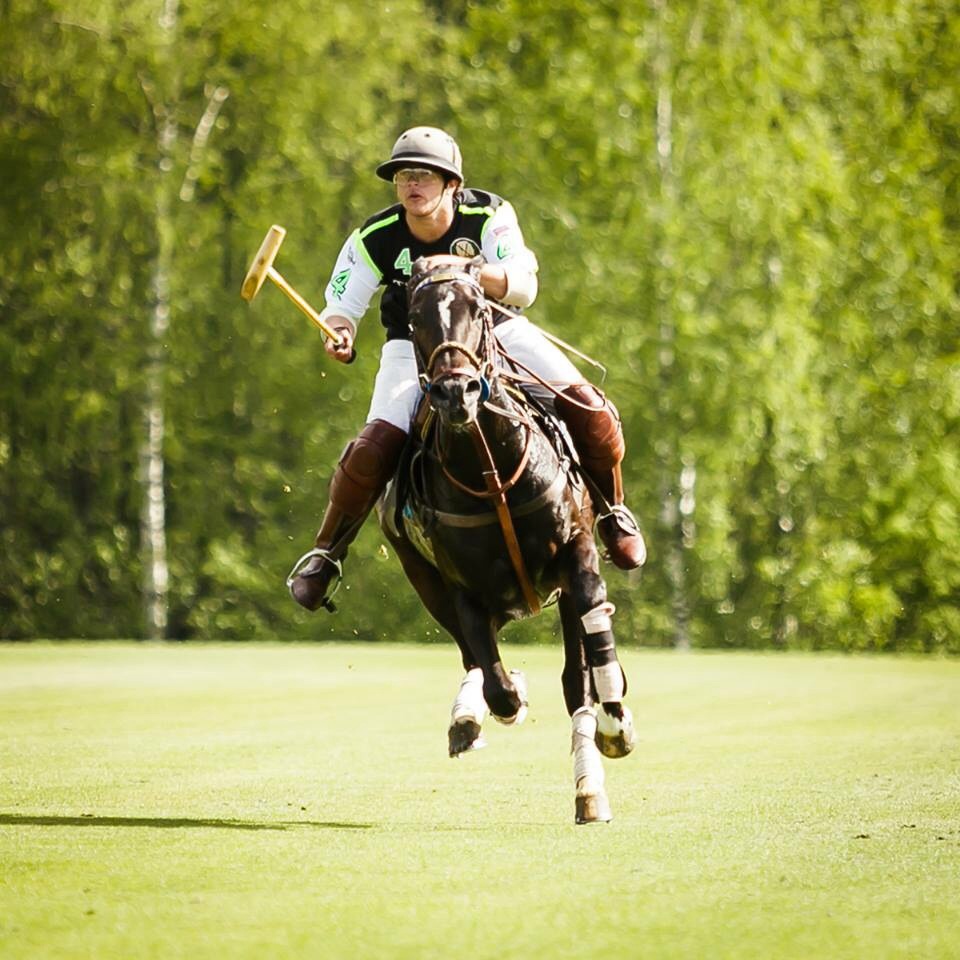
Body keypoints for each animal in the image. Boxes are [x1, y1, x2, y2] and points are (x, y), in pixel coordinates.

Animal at [380, 256, 636, 824]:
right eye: (413, 317)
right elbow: (498, 686)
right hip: (423, 579)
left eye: (479, 309)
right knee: (475, 659)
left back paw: (590, 785)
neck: (490, 471)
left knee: (573, 677)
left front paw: (615, 723)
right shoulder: (462, 589)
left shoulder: (575, 553)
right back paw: (467, 718)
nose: (456, 393)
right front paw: (500, 699)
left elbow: (589, 655)